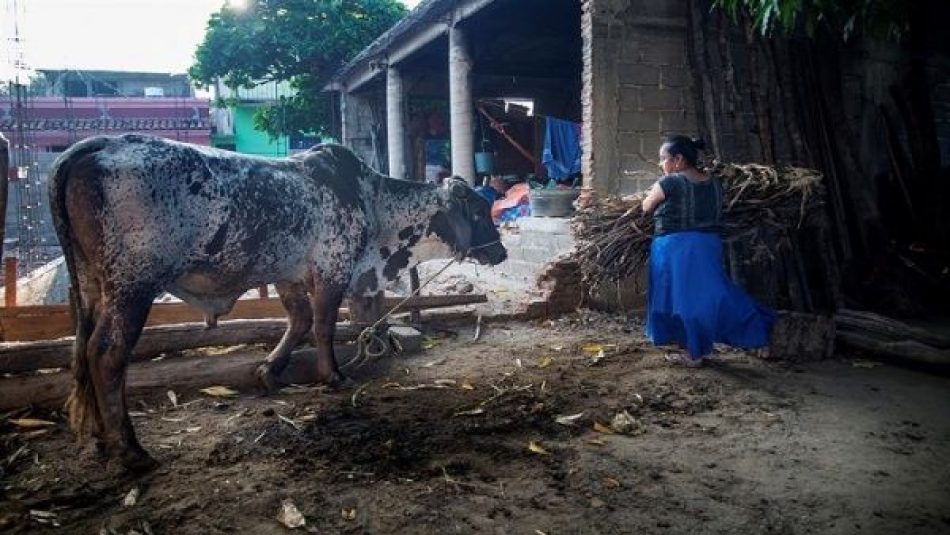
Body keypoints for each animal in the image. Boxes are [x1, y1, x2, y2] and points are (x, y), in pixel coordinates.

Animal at [48, 134, 510, 468]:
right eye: (478, 211)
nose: (501, 252)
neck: (372, 203)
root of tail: (91, 147)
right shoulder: (331, 270)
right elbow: (322, 326)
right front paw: (333, 375)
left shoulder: (288, 276)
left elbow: (299, 321)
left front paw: (269, 371)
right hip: (133, 286)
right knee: (106, 353)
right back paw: (130, 449)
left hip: (90, 286)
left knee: (83, 350)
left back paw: (99, 438)